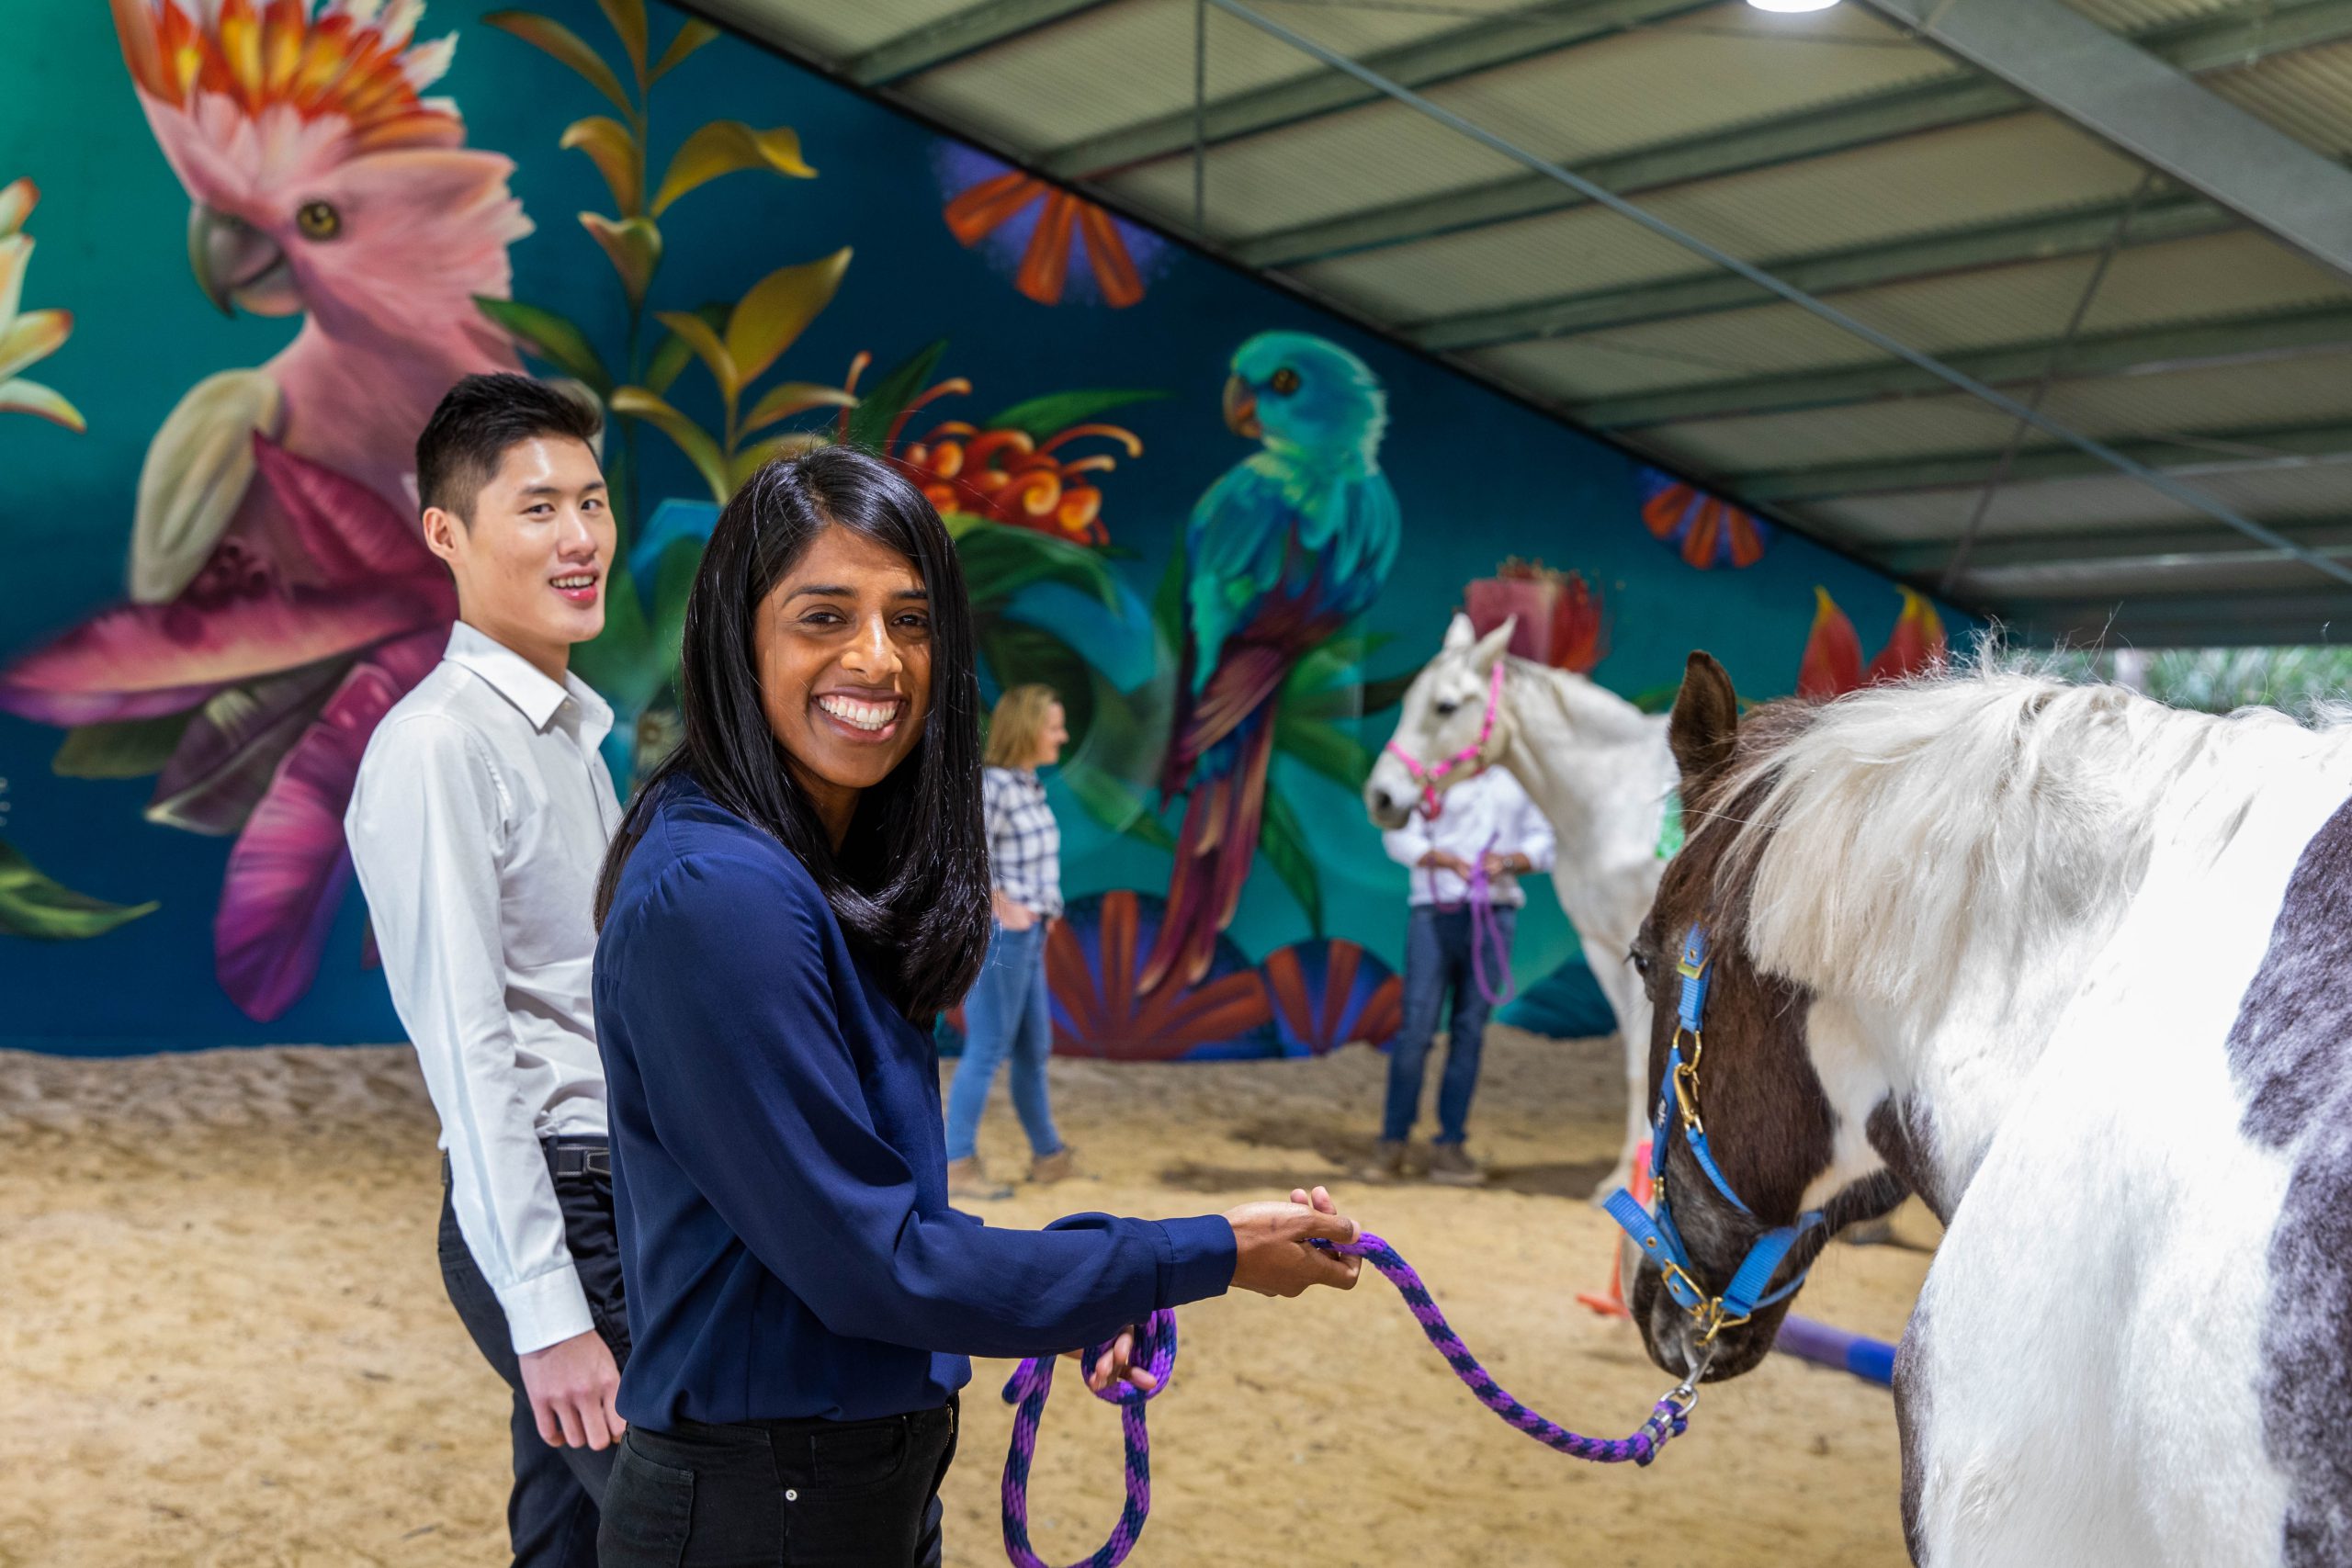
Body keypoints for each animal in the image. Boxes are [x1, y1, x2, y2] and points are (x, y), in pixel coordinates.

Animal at [1363, 611, 1674, 1189]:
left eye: (1445, 706)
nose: (1382, 797)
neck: (1621, 798)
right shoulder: (1604, 950)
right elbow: (1635, 1063)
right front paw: (1624, 1178)